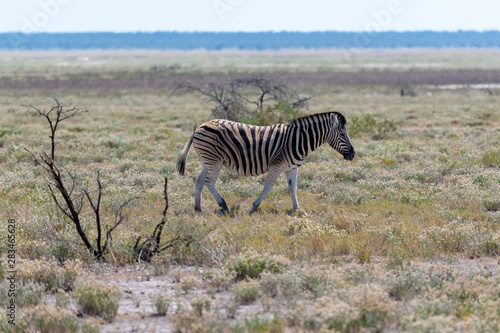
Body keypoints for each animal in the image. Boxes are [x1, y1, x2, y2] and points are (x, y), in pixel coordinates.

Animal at [176, 111, 356, 214]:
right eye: (342, 134)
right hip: (215, 161)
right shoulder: (277, 166)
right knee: (209, 182)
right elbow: (268, 186)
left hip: (207, 162)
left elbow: (293, 189)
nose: (353, 154)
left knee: (199, 182)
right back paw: (223, 205)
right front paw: (254, 207)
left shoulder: (292, 168)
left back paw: (198, 208)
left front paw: (298, 210)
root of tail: (199, 127)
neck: (298, 141)